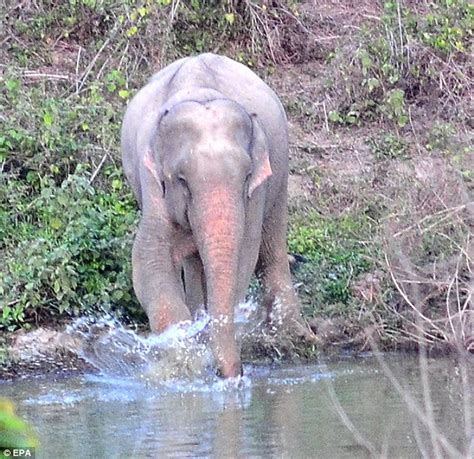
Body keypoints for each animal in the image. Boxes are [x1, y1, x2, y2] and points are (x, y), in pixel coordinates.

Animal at [121, 53, 308, 378]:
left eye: (246, 176)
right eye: (181, 180)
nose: (233, 373)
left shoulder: (256, 189)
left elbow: (244, 254)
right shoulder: (151, 180)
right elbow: (149, 259)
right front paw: (185, 353)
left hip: (281, 170)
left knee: (271, 244)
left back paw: (292, 333)